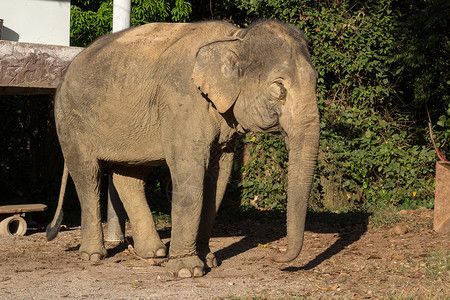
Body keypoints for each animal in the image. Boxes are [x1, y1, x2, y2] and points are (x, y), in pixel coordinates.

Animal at [46, 20, 320, 278]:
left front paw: (208, 261)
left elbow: (219, 176)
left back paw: (155, 253)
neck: (235, 37)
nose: (275, 257)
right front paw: (187, 271)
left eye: (316, 81)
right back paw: (94, 255)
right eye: (278, 87)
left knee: (129, 176)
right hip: (70, 119)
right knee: (87, 175)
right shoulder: (182, 99)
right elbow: (190, 170)